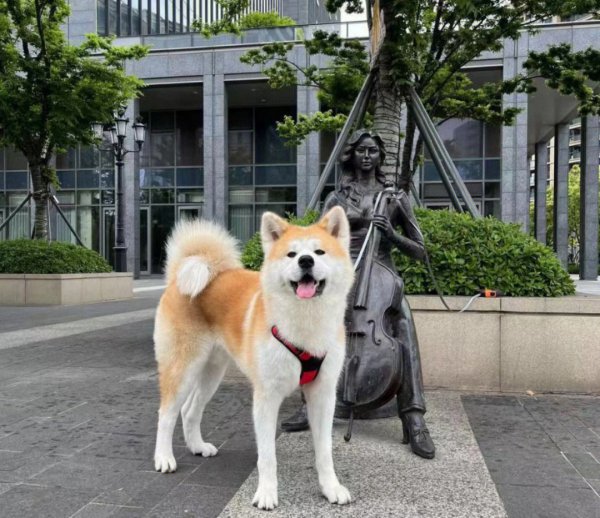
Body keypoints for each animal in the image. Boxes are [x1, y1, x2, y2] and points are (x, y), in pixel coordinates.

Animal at [152, 207, 354, 512]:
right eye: (291, 254)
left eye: (319, 252)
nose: (306, 261)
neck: (305, 325)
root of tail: (179, 275)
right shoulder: (266, 397)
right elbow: (267, 456)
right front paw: (267, 494)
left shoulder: (322, 394)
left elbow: (325, 451)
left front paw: (331, 488)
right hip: (183, 367)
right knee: (166, 414)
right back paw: (164, 458)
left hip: (212, 372)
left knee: (189, 411)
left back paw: (198, 446)